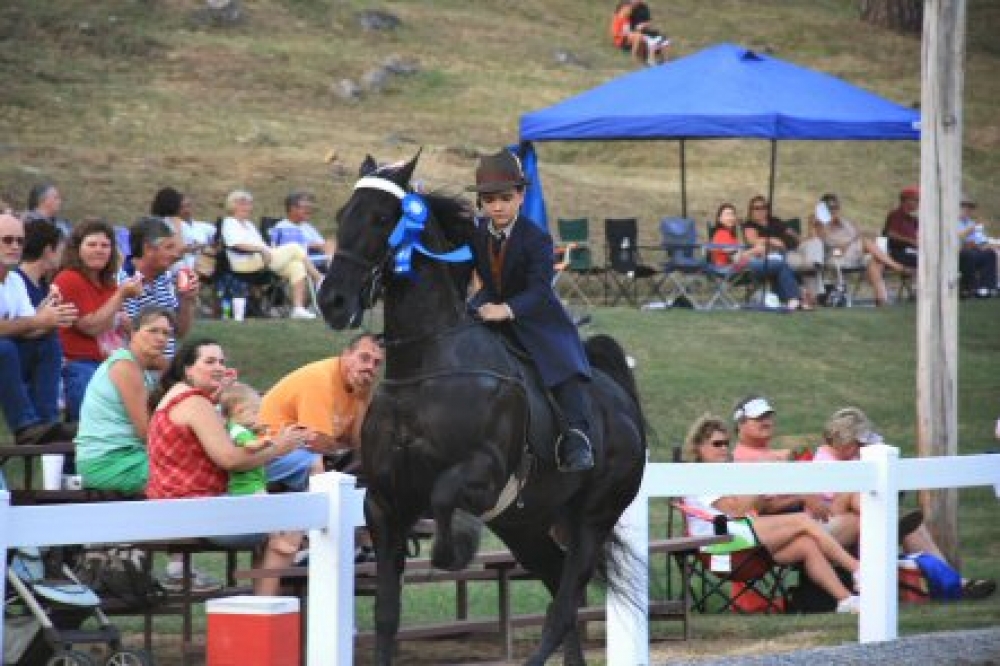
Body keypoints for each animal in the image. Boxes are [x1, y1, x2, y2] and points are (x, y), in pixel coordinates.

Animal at [320, 153, 648, 660]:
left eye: (382, 218)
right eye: (342, 215)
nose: (332, 301)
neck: (426, 367)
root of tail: (623, 405)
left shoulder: (483, 477)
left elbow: (443, 502)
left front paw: (457, 544)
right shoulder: (384, 502)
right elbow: (386, 614)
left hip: (592, 519)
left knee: (563, 603)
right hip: (527, 525)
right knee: (560, 587)